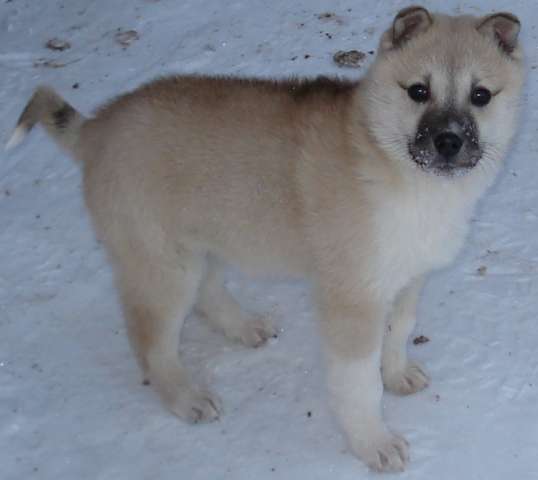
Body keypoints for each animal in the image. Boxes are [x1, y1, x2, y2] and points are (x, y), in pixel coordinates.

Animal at [7, 6, 520, 472]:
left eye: (480, 95)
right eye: (418, 91)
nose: (449, 142)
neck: (393, 164)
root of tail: (96, 128)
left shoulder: (407, 278)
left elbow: (399, 332)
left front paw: (396, 375)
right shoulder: (353, 300)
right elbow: (358, 383)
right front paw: (374, 443)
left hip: (205, 239)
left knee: (207, 290)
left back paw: (243, 326)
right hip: (162, 265)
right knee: (150, 342)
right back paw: (187, 397)